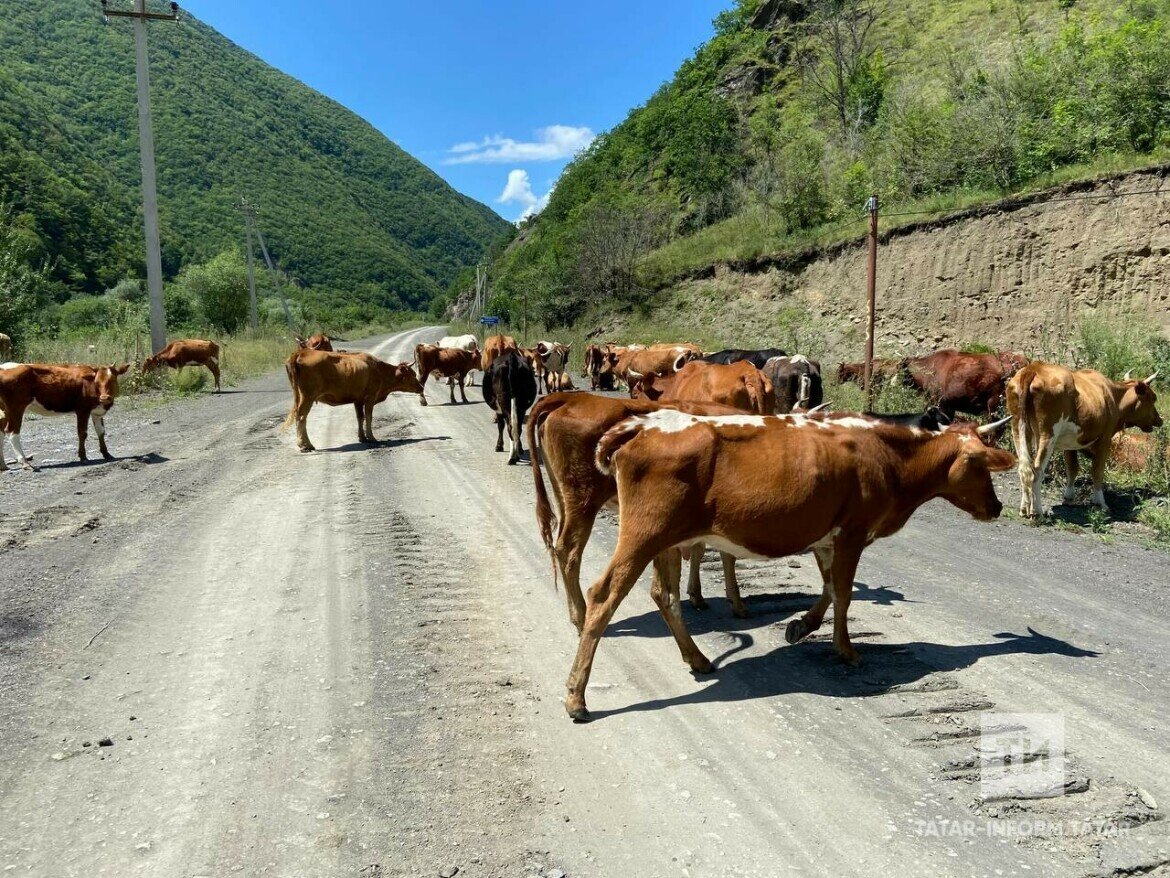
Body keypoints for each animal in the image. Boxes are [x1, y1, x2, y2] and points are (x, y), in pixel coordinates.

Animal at [0, 360, 129, 470]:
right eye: (97, 382)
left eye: (112, 380)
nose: (104, 398)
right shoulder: (82, 410)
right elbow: (82, 433)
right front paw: (83, 457)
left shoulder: (97, 412)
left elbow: (101, 432)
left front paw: (107, 454)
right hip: (16, 407)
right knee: (12, 432)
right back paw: (25, 463)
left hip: (4, 410)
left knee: (1, 432)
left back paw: (3, 465)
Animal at [283, 348, 425, 454]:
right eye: (412, 374)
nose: (421, 387)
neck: (379, 370)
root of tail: (302, 352)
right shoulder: (370, 397)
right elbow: (369, 417)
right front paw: (371, 437)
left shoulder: (358, 400)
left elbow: (360, 417)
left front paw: (362, 437)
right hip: (308, 396)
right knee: (301, 417)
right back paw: (305, 445)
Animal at [563, 412, 1015, 721]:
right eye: (980, 464)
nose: (997, 506)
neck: (885, 454)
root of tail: (645, 423)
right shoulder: (853, 532)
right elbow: (844, 593)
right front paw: (845, 650)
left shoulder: (825, 536)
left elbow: (830, 588)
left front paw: (802, 626)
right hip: (644, 533)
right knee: (604, 596)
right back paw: (576, 696)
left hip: (668, 541)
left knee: (665, 594)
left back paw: (697, 659)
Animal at [1006, 362, 1160, 519]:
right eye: (1153, 398)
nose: (1159, 420)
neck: (1113, 395)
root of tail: (1034, 368)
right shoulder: (1105, 439)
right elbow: (1097, 471)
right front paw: (1100, 503)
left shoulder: (1069, 443)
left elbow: (1072, 468)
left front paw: (1068, 498)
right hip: (1047, 434)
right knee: (1036, 471)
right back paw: (1037, 512)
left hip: (1018, 428)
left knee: (1023, 468)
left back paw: (1024, 509)